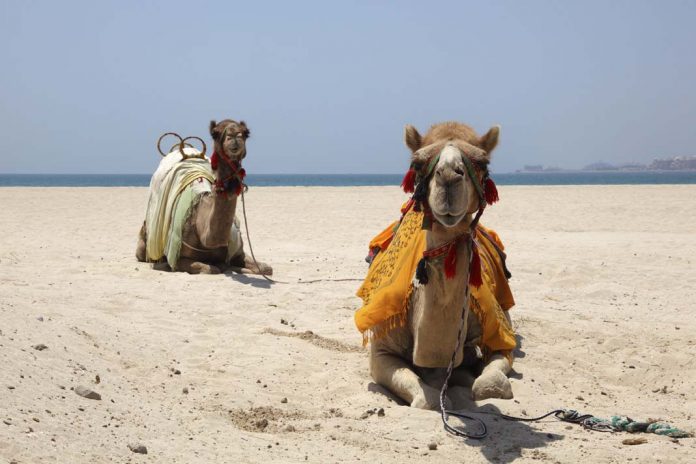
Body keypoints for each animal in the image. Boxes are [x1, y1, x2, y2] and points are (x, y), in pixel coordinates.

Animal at [136, 119, 272, 275]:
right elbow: (211, 268)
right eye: (215, 133)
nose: (234, 136)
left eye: (245, 132)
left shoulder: (239, 253)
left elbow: (266, 268)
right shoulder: (177, 259)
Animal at [363, 121, 515, 410]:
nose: (449, 177)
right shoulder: (381, 351)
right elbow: (427, 400)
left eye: (483, 162)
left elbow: (488, 385)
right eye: (417, 162)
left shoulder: (501, 334)